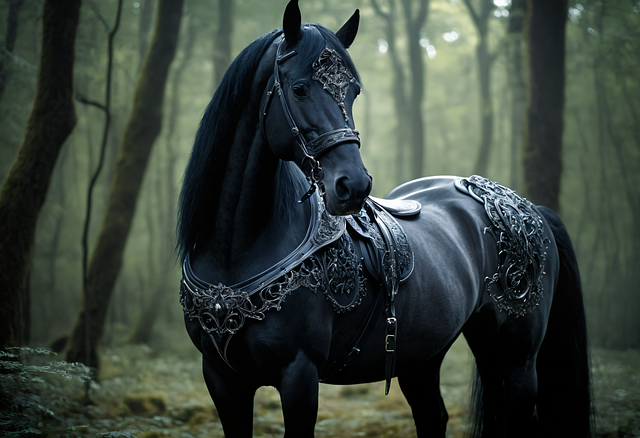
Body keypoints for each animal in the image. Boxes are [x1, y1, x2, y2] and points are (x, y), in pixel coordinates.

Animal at [176, 1, 592, 437]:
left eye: (354, 91)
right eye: (299, 88)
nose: (354, 185)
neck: (237, 253)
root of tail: (526, 207)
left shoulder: (299, 376)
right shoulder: (223, 381)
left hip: (517, 358)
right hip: (427, 356)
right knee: (433, 416)